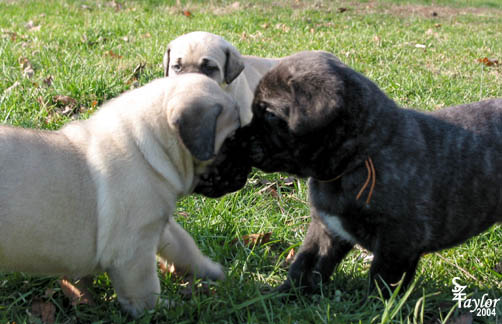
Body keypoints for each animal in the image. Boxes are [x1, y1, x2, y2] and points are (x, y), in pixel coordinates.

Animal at [0, 74, 239, 316]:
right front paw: (166, 310)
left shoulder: (159, 225)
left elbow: (184, 246)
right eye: (232, 140)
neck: (145, 149)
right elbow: (146, 291)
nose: (246, 171)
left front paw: (210, 270)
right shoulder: (135, 249)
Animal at [196, 51, 502, 296]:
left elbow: (383, 281)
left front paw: (376, 309)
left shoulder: (397, 241)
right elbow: (304, 265)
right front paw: (283, 295)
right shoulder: (325, 229)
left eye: (270, 115)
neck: (357, 160)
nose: (237, 136)